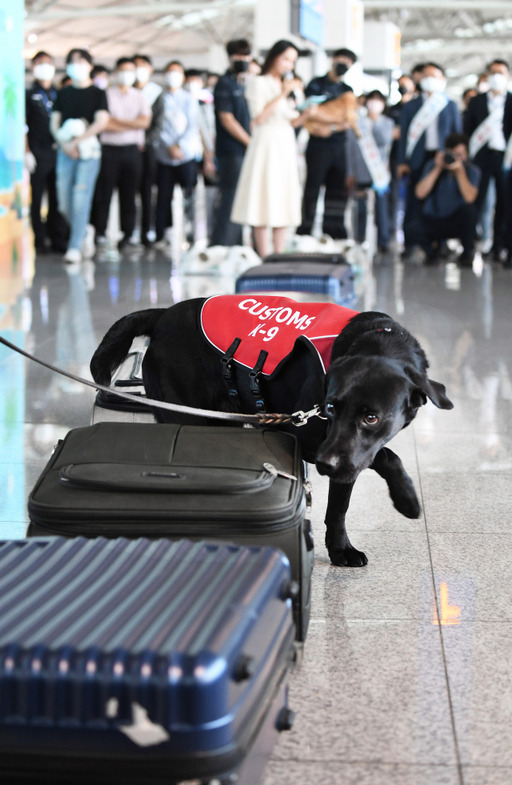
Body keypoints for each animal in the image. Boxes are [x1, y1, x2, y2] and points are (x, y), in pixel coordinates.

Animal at [91, 298, 452, 568]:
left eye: (372, 417)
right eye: (330, 408)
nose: (326, 466)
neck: (377, 338)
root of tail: (163, 314)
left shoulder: (345, 456)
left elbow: (339, 506)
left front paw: (339, 550)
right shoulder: (308, 436)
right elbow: (385, 455)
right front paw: (406, 497)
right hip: (184, 415)